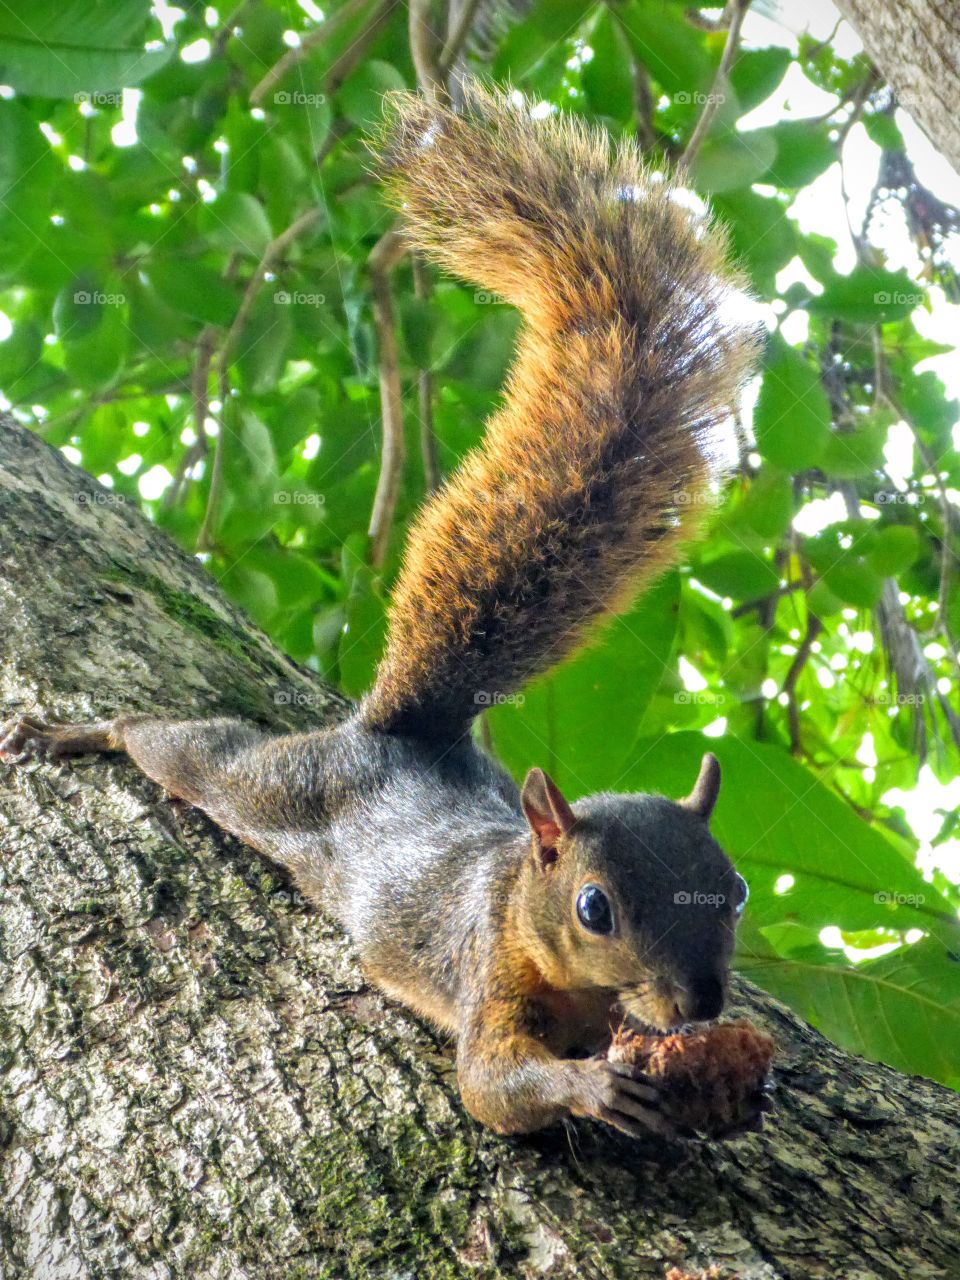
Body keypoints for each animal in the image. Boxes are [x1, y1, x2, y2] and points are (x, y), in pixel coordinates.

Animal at [1, 84, 761, 1143]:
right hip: (270, 784)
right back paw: (83, 734)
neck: (520, 901)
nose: (699, 1002)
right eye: (595, 909)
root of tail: (399, 736)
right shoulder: (485, 966)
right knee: (183, 748)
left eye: (735, 888)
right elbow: (489, 1085)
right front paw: (594, 1088)